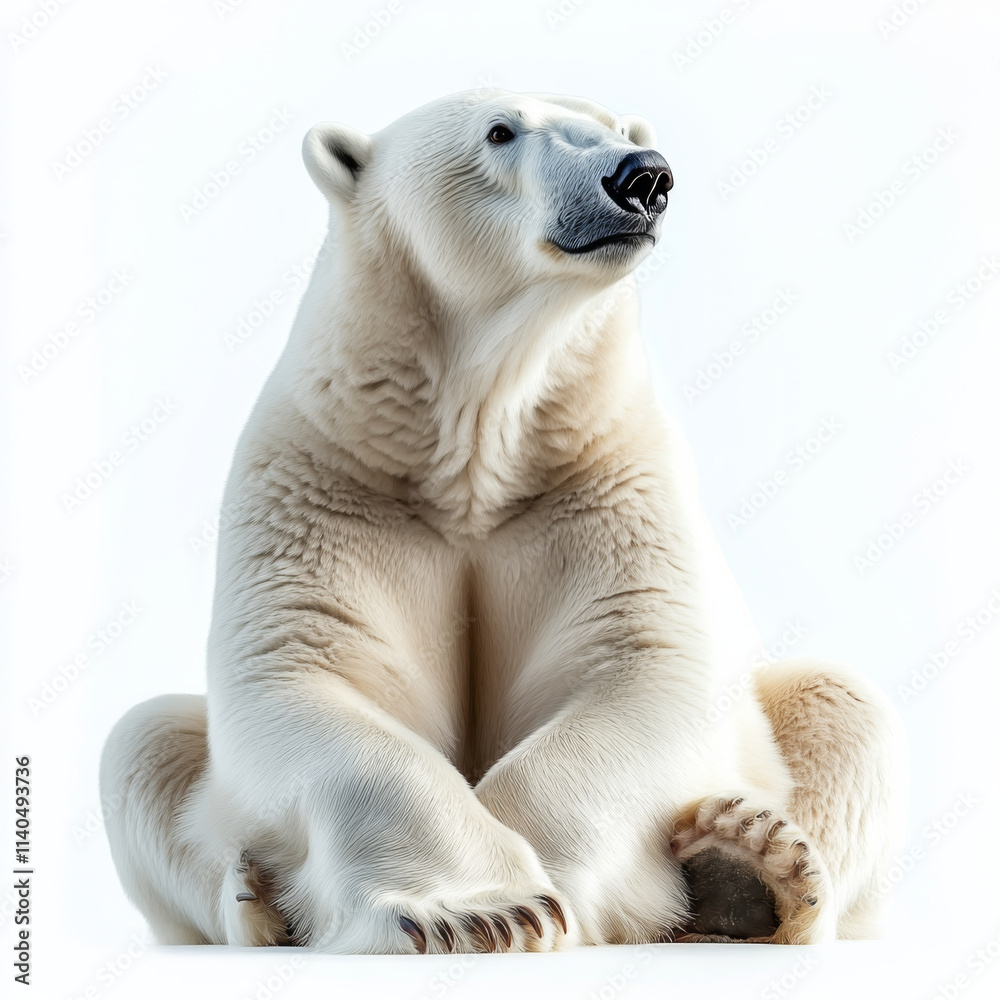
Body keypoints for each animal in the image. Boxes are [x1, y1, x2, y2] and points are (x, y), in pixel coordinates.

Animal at [100, 89, 906, 954]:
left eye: (616, 127)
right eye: (500, 130)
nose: (643, 176)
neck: (471, 456)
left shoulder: (606, 482)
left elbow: (645, 661)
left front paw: (540, 896)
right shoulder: (324, 482)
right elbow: (301, 670)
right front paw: (481, 908)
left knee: (845, 702)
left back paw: (749, 867)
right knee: (141, 742)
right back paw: (254, 901)